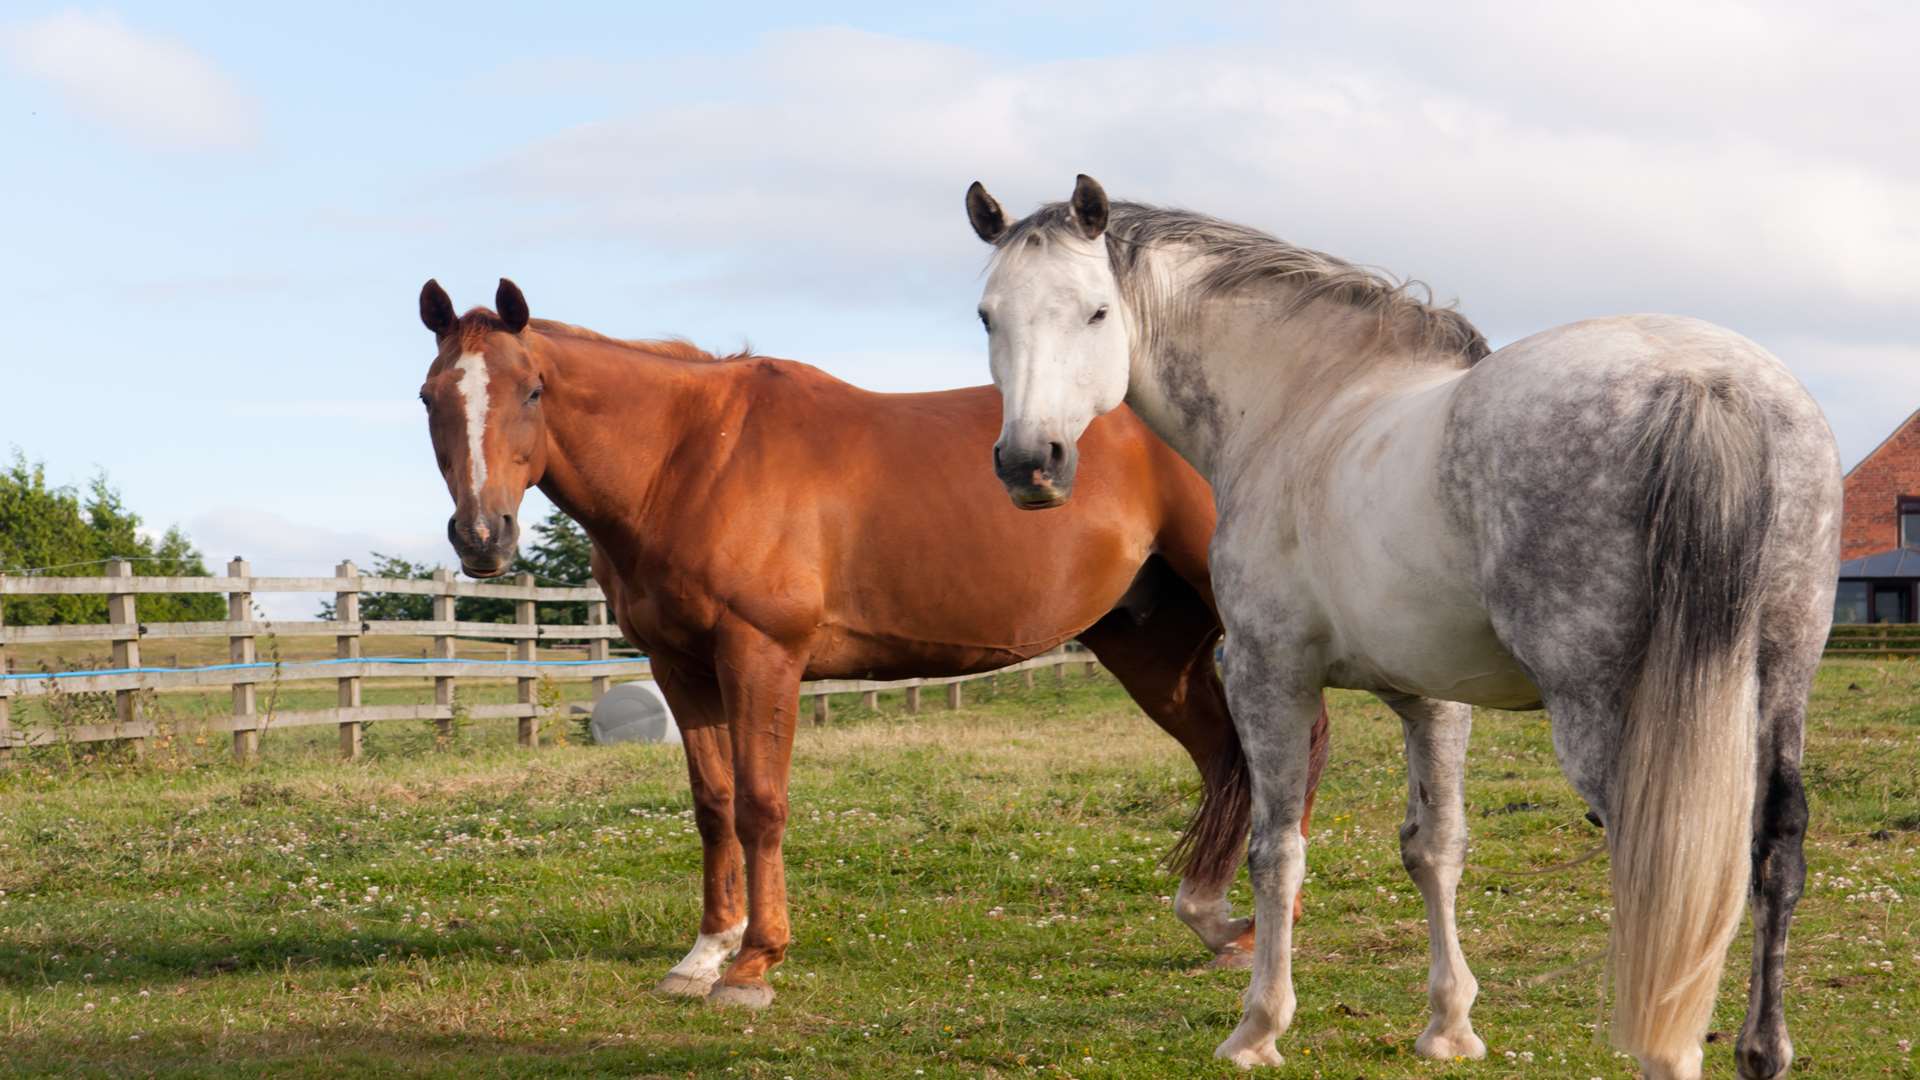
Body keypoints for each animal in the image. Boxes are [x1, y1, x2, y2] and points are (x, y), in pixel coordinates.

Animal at [412, 278, 1328, 1006]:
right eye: (429, 397)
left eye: (532, 390)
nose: (483, 537)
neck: (691, 456)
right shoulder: (680, 667)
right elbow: (713, 806)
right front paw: (703, 956)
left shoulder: (760, 656)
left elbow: (761, 804)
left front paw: (754, 964)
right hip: (1151, 645)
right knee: (1224, 756)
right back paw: (1220, 925)